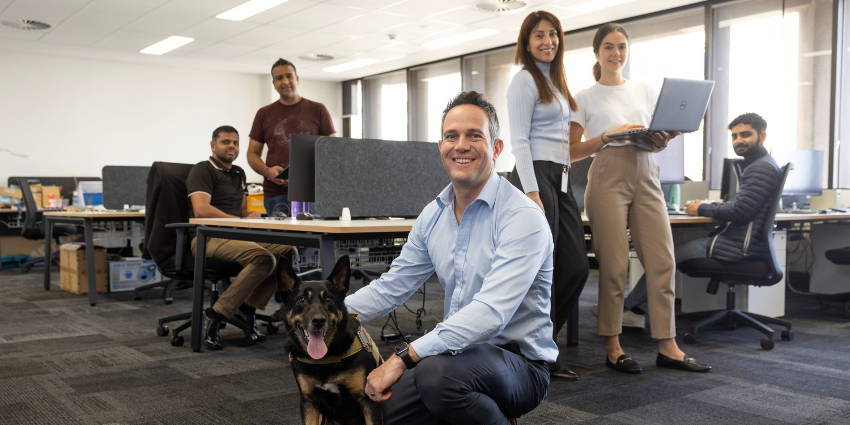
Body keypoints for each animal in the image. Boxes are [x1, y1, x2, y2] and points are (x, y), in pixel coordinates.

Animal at [278, 255, 380, 424]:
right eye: (301, 300)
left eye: (328, 299)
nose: (318, 321)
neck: (325, 360)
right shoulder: (309, 402)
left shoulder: (368, 400)